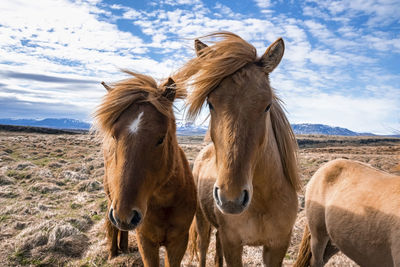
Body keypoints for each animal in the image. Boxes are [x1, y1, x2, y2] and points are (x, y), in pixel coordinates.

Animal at [94, 70, 197, 266]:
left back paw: (124, 248)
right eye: (114, 135)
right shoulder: (146, 241)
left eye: (161, 138)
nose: (126, 214)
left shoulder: (179, 242)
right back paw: (113, 254)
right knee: (112, 226)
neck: (164, 202)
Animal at [175, 32, 300, 266]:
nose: (231, 199)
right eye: (210, 103)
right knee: (203, 248)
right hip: (202, 220)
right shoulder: (233, 243)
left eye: (267, 105)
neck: (262, 202)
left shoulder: (277, 246)